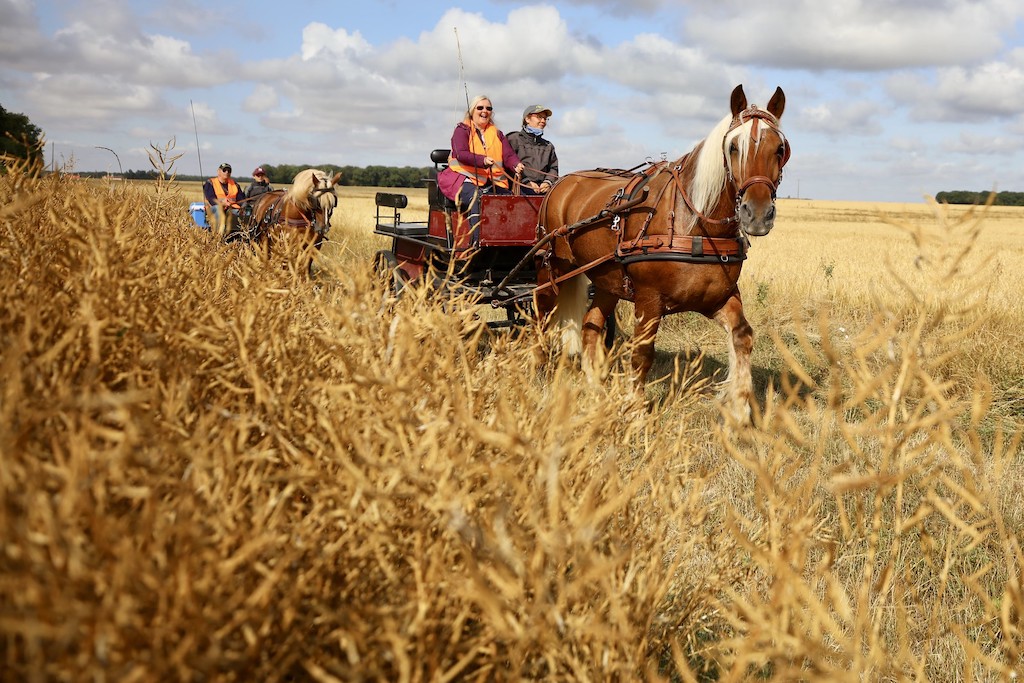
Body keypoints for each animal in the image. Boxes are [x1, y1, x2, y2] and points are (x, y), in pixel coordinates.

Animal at [536, 82, 790, 419]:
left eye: (780, 149)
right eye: (734, 147)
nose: (757, 214)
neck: (693, 224)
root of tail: (561, 183)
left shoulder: (718, 296)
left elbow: (743, 336)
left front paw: (739, 406)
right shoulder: (648, 300)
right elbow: (642, 353)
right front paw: (635, 410)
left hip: (607, 281)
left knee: (591, 325)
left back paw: (594, 387)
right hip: (552, 268)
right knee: (541, 316)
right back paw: (537, 368)